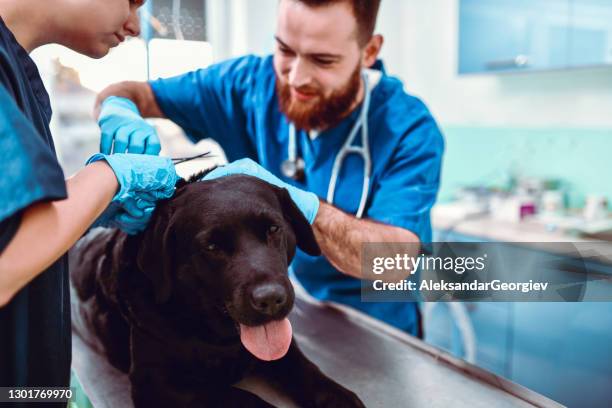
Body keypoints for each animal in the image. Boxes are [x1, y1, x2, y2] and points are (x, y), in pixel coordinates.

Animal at [69, 173, 366, 408]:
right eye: (212, 246)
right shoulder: (154, 383)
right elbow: (242, 398)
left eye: (273, 229)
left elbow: (304, 368)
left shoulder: (283, 345)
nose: (270, 299)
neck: (222, 339)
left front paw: (338, 396)